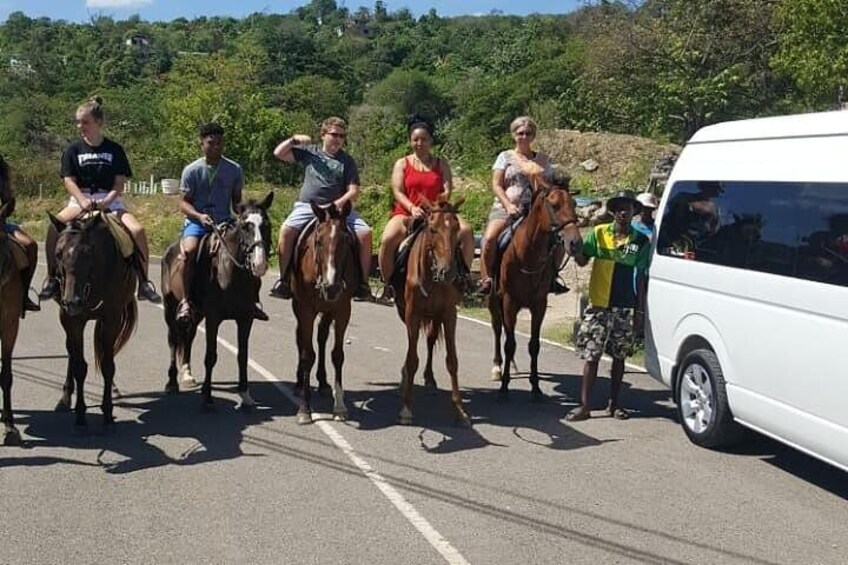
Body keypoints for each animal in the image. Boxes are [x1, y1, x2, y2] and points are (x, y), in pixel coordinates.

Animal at [51, 212, 137, 428]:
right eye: (58, 253)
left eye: (88, 253)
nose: (72, 301)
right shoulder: (72, 321)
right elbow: (79, 366)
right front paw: (81, 415)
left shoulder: (111, 319)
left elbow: (108, 366)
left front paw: (107, 413)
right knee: (72, 354)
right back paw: (65, 397)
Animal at [161, 192, 272, 408]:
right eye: (245, 225)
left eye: (266, 224)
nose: (259, 263)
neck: (230, 273)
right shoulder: (213, 318)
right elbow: (210, 356)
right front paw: (207, 397)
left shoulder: (245, 319)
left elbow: (242, 355)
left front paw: (245, 394)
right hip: (170, 308)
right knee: (173, 341)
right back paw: (172, 383)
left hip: (196, 314)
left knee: (188, 337)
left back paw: (187, 374)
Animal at [294, 199, 356, 424]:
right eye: (319, 241)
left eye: (345, 240)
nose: (332, 287)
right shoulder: (305, 310)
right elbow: (306, 355)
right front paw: (305, 408)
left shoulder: (342, 310)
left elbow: (337, 355)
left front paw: (339, 406)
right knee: (301, 339)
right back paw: (299, 383)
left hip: (327, 311)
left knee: (321, 338)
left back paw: (322, 382)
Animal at [392, 194, 470, 424]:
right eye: (433, 229)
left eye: (456, 228)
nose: (448, 272)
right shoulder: (413, 314)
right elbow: (412, 359)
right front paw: (406, 408)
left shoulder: (449, 314)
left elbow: (452, 361)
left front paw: (459, 410)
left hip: (435, 316)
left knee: (431, 338)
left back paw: (429, 377)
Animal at [490, 174, 584, 398]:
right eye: (554, 205)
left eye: (574, 204)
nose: (575, 243)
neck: (528, 254)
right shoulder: (510, 302)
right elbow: (509, 344)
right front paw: (504, 387)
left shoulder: (539, 304)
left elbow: (534, 345)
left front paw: (535, 387)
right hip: (494, 299)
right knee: (497, 329)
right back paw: (497, 368)